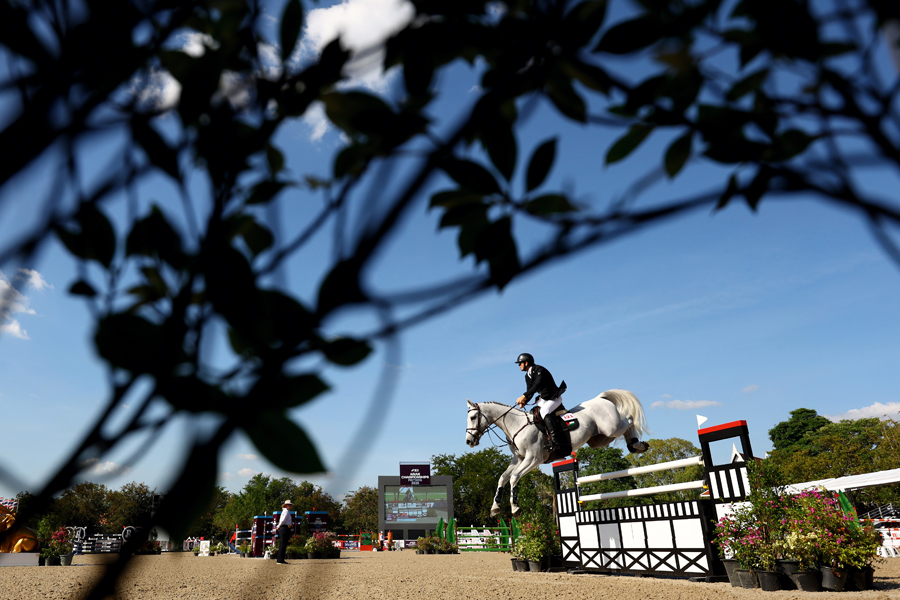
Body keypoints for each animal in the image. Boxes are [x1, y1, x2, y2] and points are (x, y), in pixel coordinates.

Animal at [465, 390, 650, 518]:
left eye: (473, 417)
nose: (469, 441)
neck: (516, 424)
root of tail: (600, 398)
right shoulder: (518, 458)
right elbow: (503, 477)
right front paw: (495, 507)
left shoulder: (533, 459)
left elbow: (514, 477)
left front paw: (515, 508)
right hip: (600, 439)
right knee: (623, 428)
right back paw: (634, 445)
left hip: (612, 427)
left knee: (629, 419)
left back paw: (638, 445)